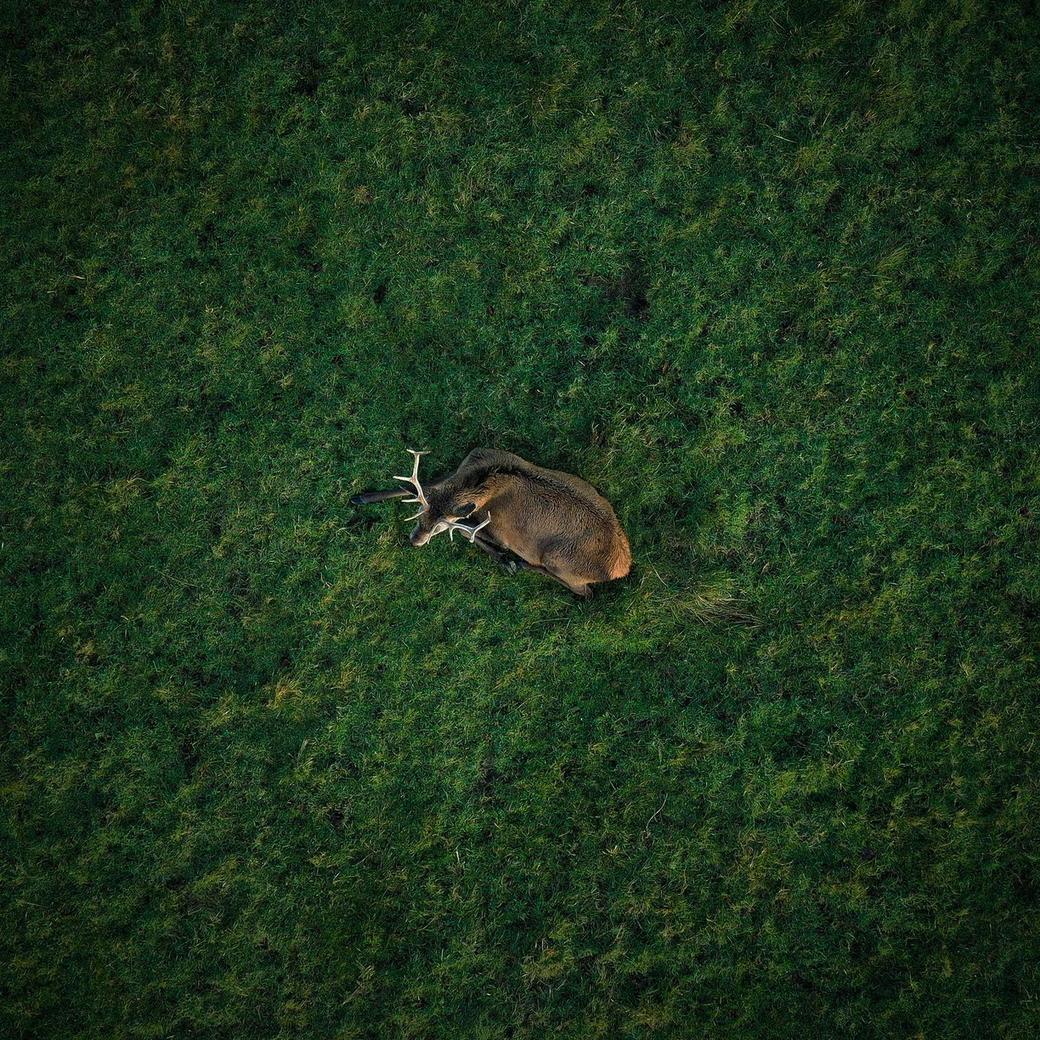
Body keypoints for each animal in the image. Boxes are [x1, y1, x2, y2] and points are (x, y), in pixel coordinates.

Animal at [351, 448, 631, 597]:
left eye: (441, 527)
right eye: (420, 513)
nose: (415, 540)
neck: (489, 478)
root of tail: (622, 568)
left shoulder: (501, 532)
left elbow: (468, 534)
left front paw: (505, 560)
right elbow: (423, 485)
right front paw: (361, 497)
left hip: (558, 560)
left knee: (584, 592)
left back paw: (521, 563)